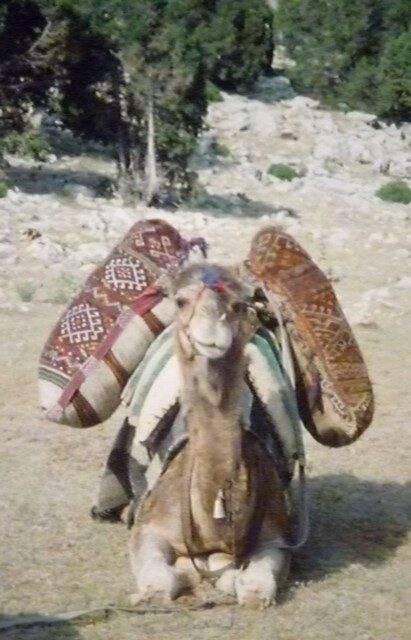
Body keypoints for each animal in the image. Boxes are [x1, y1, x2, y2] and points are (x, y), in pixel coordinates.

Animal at [129, 263, 291, 607]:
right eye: (180, 301)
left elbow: (253, 587)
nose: (214, 335)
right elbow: (158, 586)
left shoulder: (277, 535)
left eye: (239, 305)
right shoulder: (148, 530)